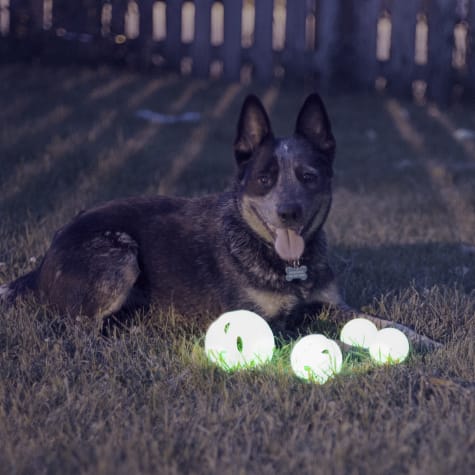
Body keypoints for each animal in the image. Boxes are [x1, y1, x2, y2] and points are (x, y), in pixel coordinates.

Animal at [1, 95, 442, 352]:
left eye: (308, 176)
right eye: (264, 178)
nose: (289, 213)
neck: (286, 267)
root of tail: (43, 261)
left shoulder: (335, 305)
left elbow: (388, 323)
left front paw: (425, 341)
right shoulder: (262, 324)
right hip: (120, 253)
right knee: (77, 329)